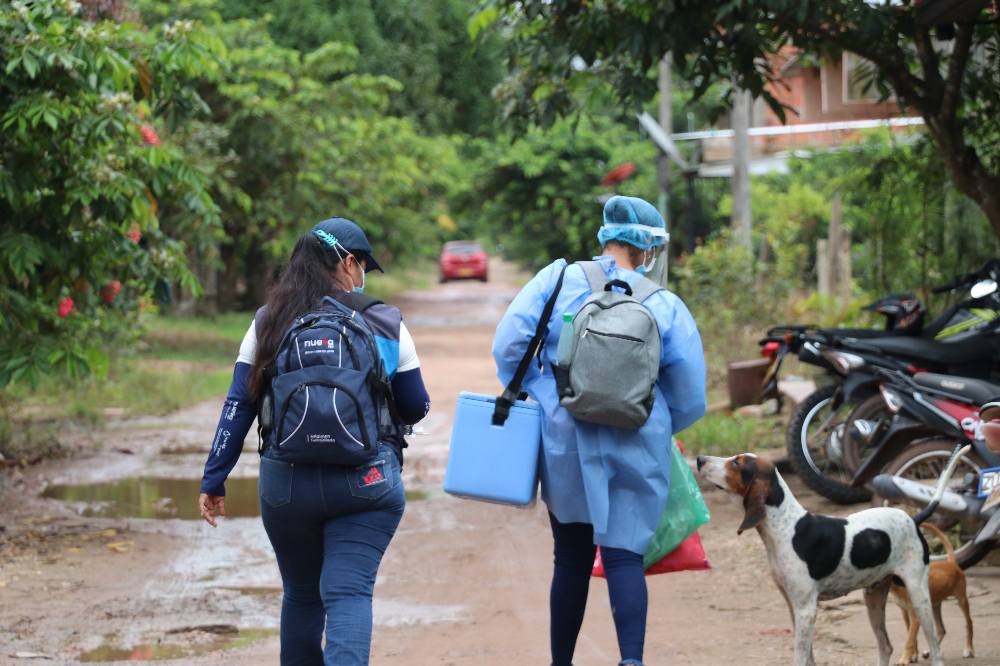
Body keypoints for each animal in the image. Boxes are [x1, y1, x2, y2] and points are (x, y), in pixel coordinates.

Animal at [696, 452, 944, 664]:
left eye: (736, 463)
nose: (699, 459)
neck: (786, 527)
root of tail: (913, 519)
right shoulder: (794, 606)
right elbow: (809, 658)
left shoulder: (806, 610)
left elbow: (800, 658)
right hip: (874, 596)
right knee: (886, 646)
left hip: (918, 595)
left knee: (935, 649)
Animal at [896, 520, 972, 660]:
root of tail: (951, 563)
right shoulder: (905, 611)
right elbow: (911, 635)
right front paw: (913, 655)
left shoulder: (915, 613)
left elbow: (911, 636)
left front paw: (908, 656)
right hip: (935, 606)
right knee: (941, 629)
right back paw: (929, 651)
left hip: (962, 600)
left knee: (969, 623)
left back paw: (968, 649)